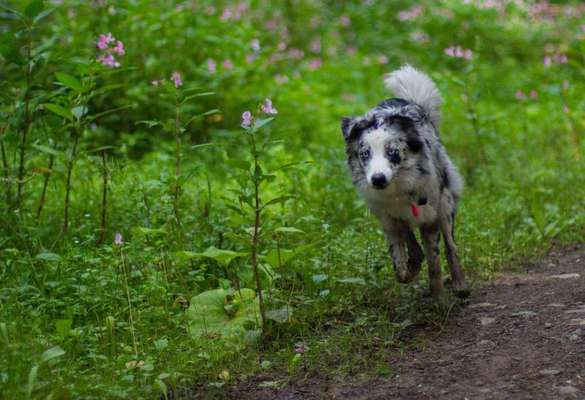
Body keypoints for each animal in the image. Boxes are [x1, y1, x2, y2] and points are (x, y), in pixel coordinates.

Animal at [342, 64, 466, 298]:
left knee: (451, 246)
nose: (378, 179)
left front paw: (440, 297)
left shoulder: (430, 218)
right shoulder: (389, 219)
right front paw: (409, 269)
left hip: (445, 205)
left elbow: (435, 263)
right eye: (365, 154)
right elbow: (399, 264)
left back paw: (460, 284)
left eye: (392, 152)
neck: (398, 189)